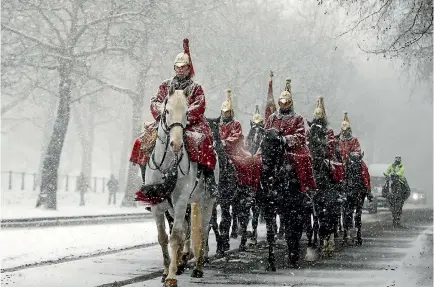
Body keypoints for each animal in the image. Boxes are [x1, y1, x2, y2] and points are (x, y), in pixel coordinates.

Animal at [145, 89, 219, 286]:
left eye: (187, 113)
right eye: (167, 111)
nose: (176, 144)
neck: (167, 164)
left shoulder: (180, 200)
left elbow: (176, 236)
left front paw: (171, 277)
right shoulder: (157, 204)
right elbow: (163, 237)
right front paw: (166, 271)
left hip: (206, 201)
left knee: (203, 230)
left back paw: (198, 268)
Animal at [206, 118, 251, 255]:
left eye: (216, 132)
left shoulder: (225, 200)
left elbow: (223, 222)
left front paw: (221, 247)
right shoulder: (213, 201)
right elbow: (212, 223)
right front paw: (217, 246)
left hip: (245, 198)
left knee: (244, 218)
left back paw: (242, 243)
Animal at [260, 129, 306, 272]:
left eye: (276, 145)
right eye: (262, 145)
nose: (266, 169)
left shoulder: (289, 209)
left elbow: (291, 232)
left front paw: (293, 256)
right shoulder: (268, 209)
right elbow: (270, 235)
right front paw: (271, 263)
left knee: (296, 228)